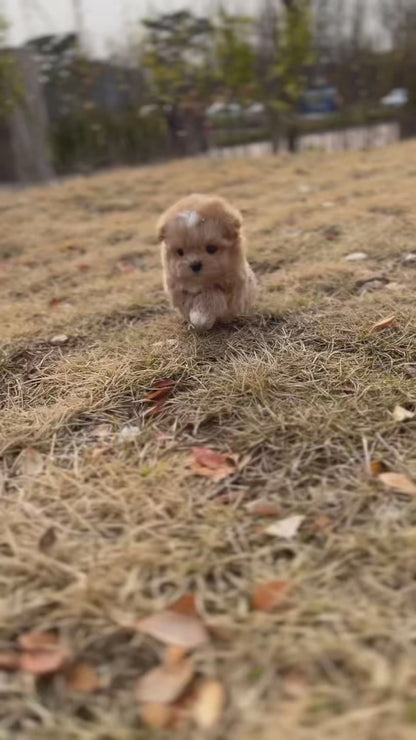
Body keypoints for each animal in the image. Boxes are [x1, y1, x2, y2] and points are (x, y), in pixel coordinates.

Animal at [158, 192, 256, 330]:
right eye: (180, 252)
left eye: (211, 249)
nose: (195, 264)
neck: (201, 281)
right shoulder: (177, 288)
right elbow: (188, 302)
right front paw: (195, 320)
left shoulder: (228, 287)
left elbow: (210, 298)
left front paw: (201, 318)